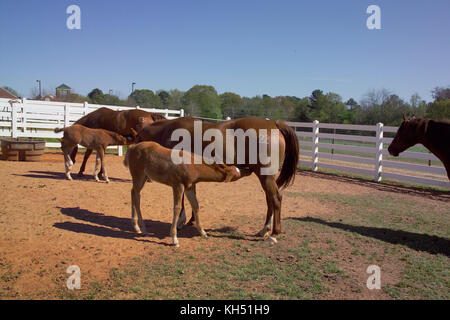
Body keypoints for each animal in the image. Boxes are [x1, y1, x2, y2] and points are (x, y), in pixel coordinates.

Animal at [135, 116, 300, 241]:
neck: (168, 131)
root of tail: (274, 124)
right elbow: (192, 199)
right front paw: (191, 220)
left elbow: (182, 200)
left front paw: (181, 221)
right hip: (265, 177)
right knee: (270, 199)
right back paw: (264, 230)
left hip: (265, 176)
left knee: (276, 198)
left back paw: (274, 233)